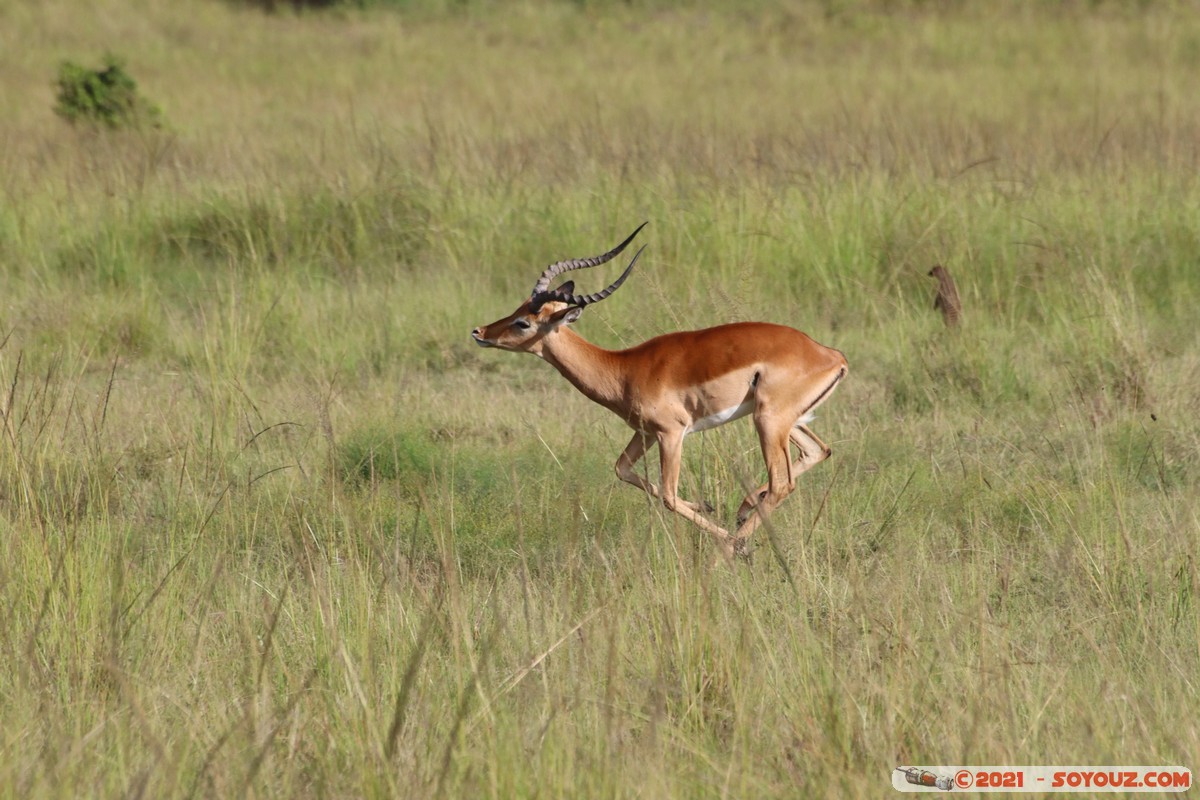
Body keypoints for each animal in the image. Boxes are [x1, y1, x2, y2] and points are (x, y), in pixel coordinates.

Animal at [471, 224, 847, 561]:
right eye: (518, 307)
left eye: (524, 322)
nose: (479, 331)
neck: (623, 368)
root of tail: (831, 355)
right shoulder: (645, 433)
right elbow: (621, 469)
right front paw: (706, 504)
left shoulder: (671, 433)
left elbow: (668, 495)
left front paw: (726, 536)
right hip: (783, 420)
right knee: (817, 452)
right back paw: (742, 510)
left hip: (767, 420)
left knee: (783, 482)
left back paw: (733, 547)